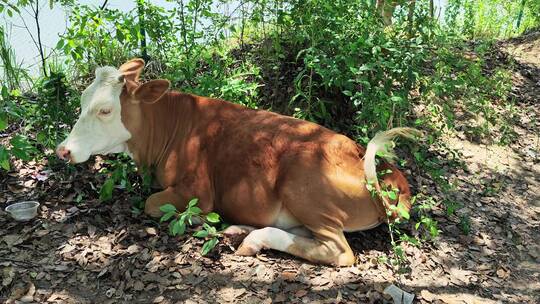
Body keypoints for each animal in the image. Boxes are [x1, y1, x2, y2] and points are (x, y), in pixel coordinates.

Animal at [57, 58, 420, 264]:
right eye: (82, 101)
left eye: (106, 110)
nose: (64, 150)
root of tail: (389, 175)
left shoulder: (196, 190)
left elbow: (154, 204)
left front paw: (200, 219)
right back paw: (240, 230)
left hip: (304, 185)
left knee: (339, 252)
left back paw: (250, 238)